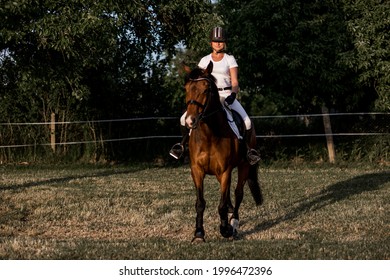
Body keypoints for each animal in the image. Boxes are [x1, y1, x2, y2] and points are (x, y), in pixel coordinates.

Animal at [183, 61, 262, 241]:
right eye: (186, 88)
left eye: (206, 89)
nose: (190, 121)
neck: (209, 135)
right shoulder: (197, 170)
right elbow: (200, 203)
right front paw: (199, 233)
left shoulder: (225, 171)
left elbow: (222, 204)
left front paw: (225, 229)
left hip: (244, 165)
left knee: (238, 193)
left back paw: (234, 224)